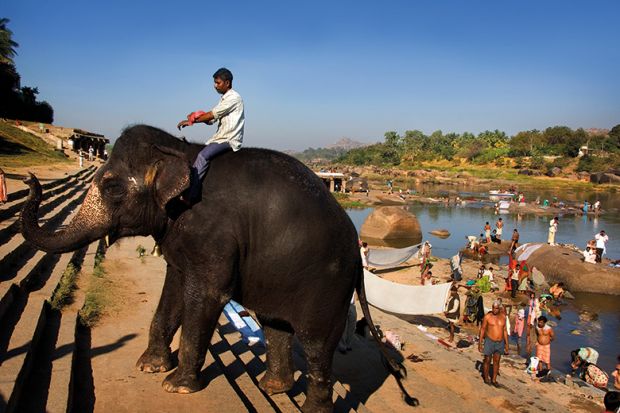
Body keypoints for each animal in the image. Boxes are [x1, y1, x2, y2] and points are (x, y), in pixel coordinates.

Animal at [20, 124, 416, 410]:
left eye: (113, 187)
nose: (29, 179)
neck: (180, 150)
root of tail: (356, 251)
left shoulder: (213, 236)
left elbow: (206, 295)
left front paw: (176, 387)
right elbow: (173, 287)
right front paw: (148, 366)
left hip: (327, 284)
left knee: (317, 345)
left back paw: (309, 408)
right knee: (274, 325)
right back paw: (272, 388)